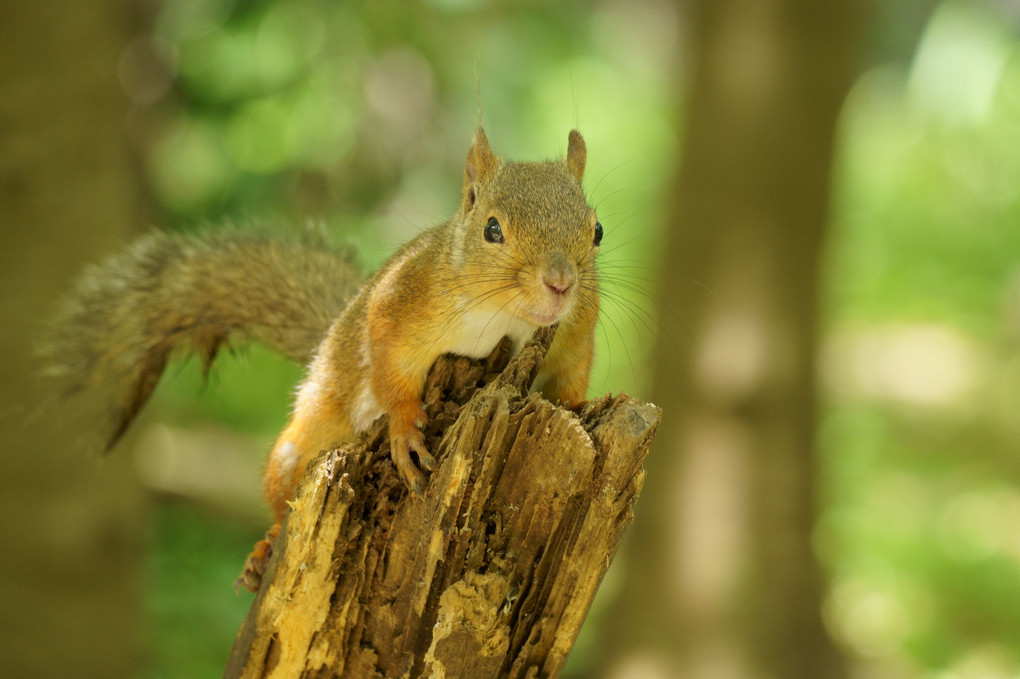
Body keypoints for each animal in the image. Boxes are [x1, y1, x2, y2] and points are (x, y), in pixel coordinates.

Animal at [43, 126, 599, 587]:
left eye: (596, 230)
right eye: (491, 229)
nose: (560, 284)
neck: (506, 319)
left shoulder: (575, 333)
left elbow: (572, 379)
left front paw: (578, 411)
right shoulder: (397, 306)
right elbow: (391, 370)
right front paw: (405, 430)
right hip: (299, 445)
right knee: (281, 496)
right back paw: (266, 544)